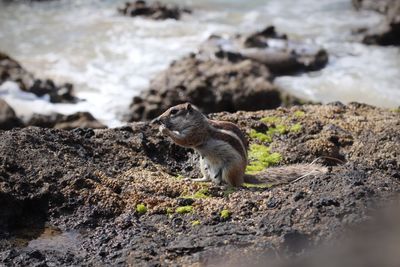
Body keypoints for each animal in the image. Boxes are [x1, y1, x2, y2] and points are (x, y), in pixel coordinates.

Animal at [152, 103, 326, 187]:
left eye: (174, 111)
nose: (158, 119)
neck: (196, 121)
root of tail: (243, 175)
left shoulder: (196, 133)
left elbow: (185, 141)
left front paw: (164, 129)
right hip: (203, 164)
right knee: (208, 179)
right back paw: (195, 180)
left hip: (230, 168)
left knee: (235, 185)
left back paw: (226, 186)